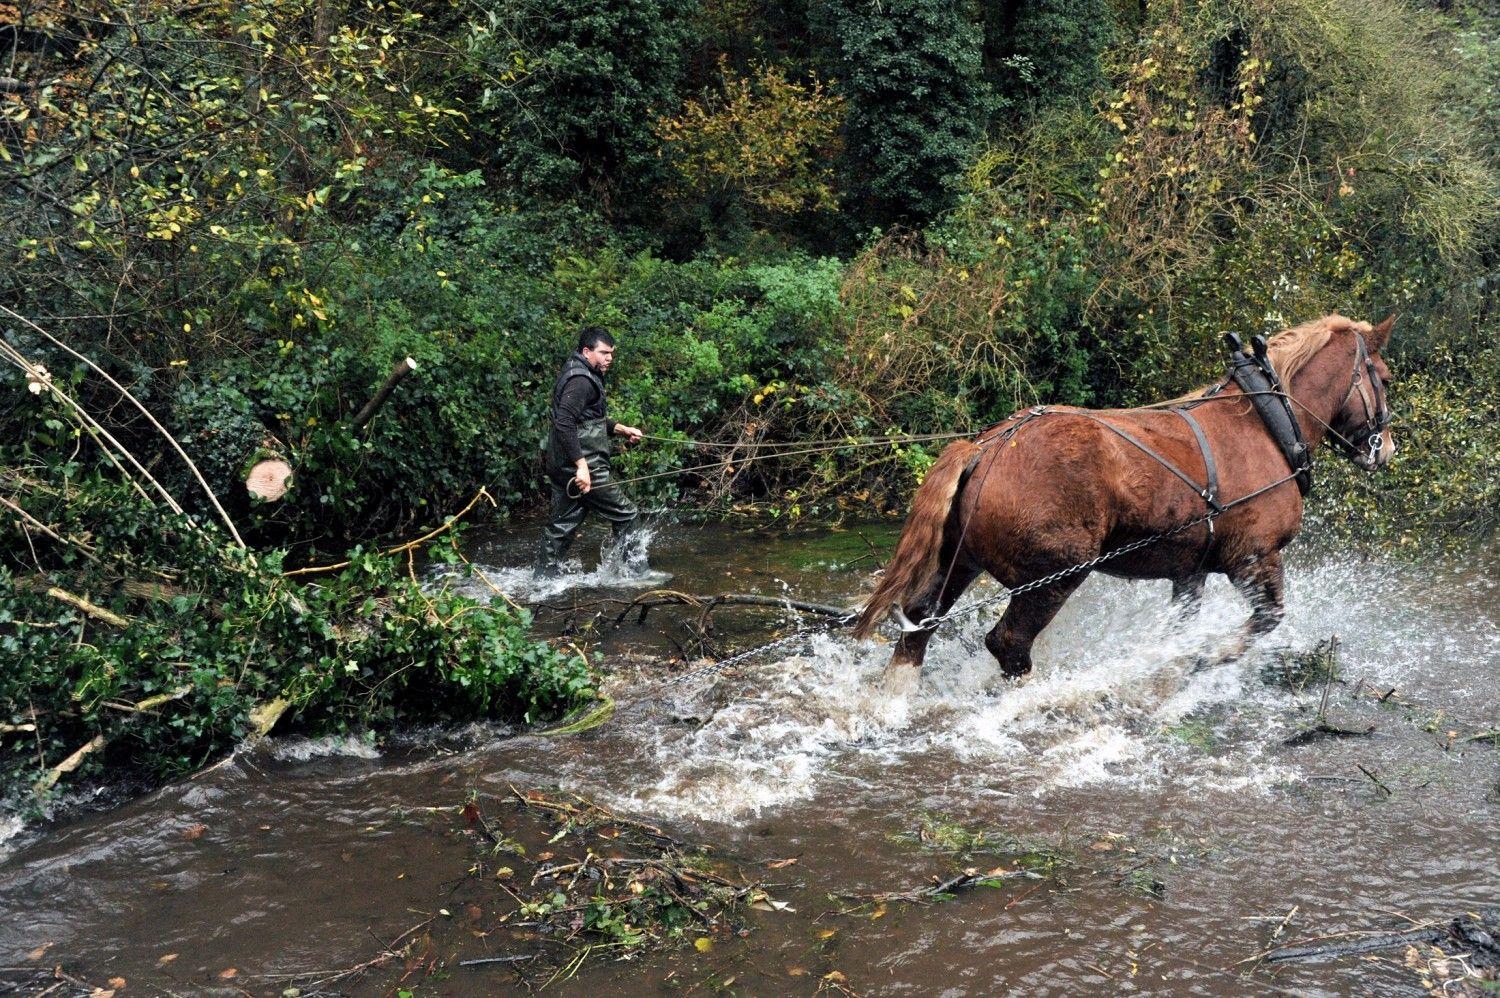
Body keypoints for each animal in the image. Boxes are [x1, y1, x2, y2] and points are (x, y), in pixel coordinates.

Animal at [854, 313, 1396, 694]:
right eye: (1385, 379)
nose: (1385, 448)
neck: (1266, 424)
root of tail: (987, 447)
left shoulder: (1190, 573)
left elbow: (1178, 629)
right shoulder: (1254, 558)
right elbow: (1266, 621)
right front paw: (1203, 660)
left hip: (959, 562)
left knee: (919, 625)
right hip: (1054, 576)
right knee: (1007, 643)